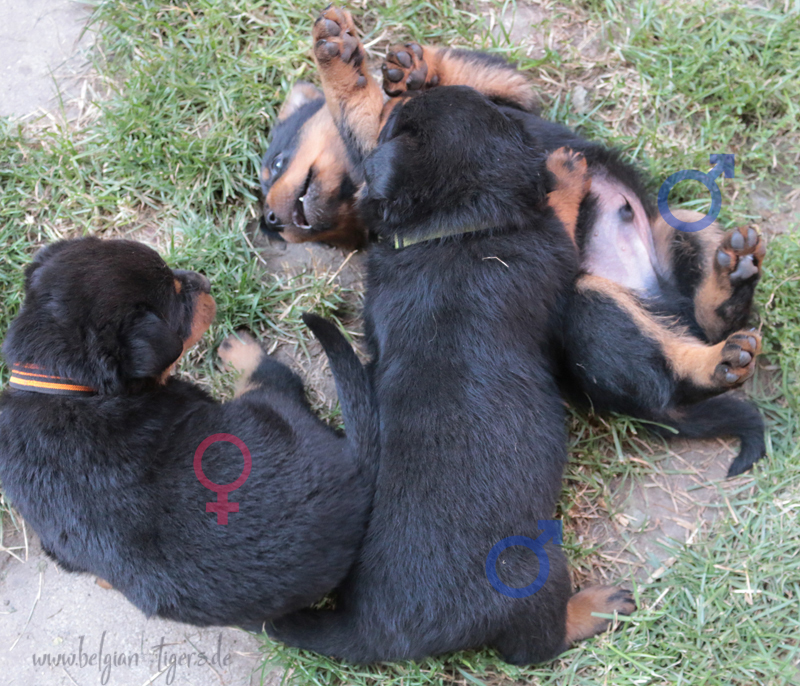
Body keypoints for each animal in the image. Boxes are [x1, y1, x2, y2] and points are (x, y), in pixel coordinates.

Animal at [0, 237, 376, 629]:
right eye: (179, 297)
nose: (203, 280)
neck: (67, 386)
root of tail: (356, 468)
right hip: (269, 407)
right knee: (272, 375)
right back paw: (239, 346)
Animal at [260, 20, 766, 477]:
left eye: (275, 165)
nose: (269, 222)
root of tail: (661, 299)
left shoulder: (511, 97)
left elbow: (471, 76)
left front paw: (405, 66)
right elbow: (358, 111)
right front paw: (345, 64)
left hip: (678, 227)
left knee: (707, 312)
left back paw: (732, 275)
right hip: (589, 303)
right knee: (671, 373)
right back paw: (718, 360)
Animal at [267, 7, 636, 665]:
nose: (273, 219)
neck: (450, 224)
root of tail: (371, 626)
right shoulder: (550, 247)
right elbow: (560, 211)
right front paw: (565, 170)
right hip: (532, 573)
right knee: (534, 645)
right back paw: (594, 607)